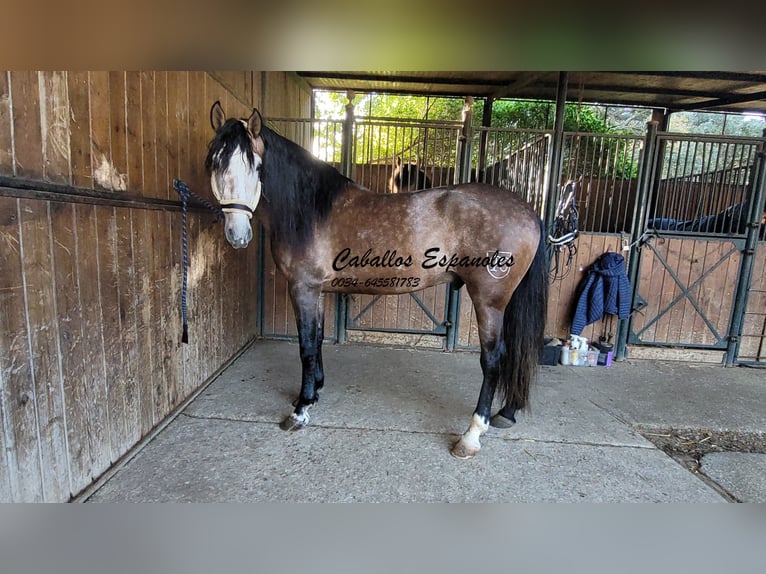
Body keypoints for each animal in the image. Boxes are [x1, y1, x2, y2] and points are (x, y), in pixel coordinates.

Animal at [206, 103, 552, 462]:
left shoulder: (303, 288)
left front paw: (300, 410)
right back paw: (506, 413)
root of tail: (528, 211)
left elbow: (306, 347)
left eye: (255, 166)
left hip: (488, 299)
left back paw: (471, 435)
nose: (237, 235)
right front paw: (314, 392)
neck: (310, 209)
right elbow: (317, 340)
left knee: (493, 359)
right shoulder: (317, 291)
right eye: (213, 162)